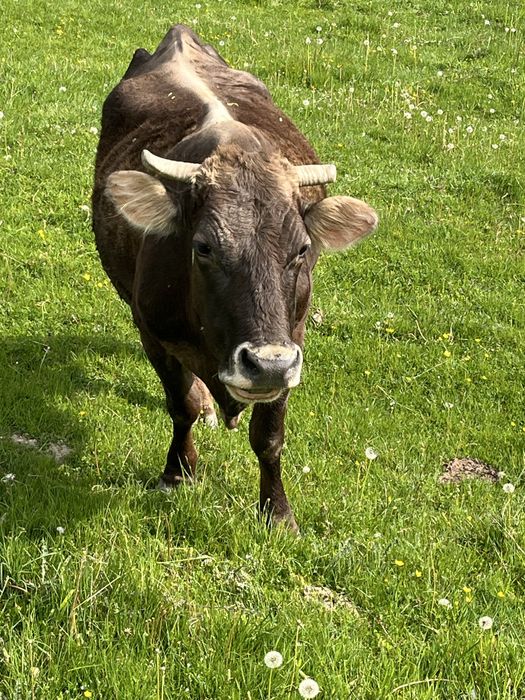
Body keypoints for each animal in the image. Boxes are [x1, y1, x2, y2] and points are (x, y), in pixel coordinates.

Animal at [92, 25, 378, 532]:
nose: (266, 364)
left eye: (302, 249)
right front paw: (178, 472)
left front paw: (277, 512)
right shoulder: (152, 332)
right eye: (203, 247)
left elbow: (269, 435)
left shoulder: (292, 340)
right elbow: (181, 405)